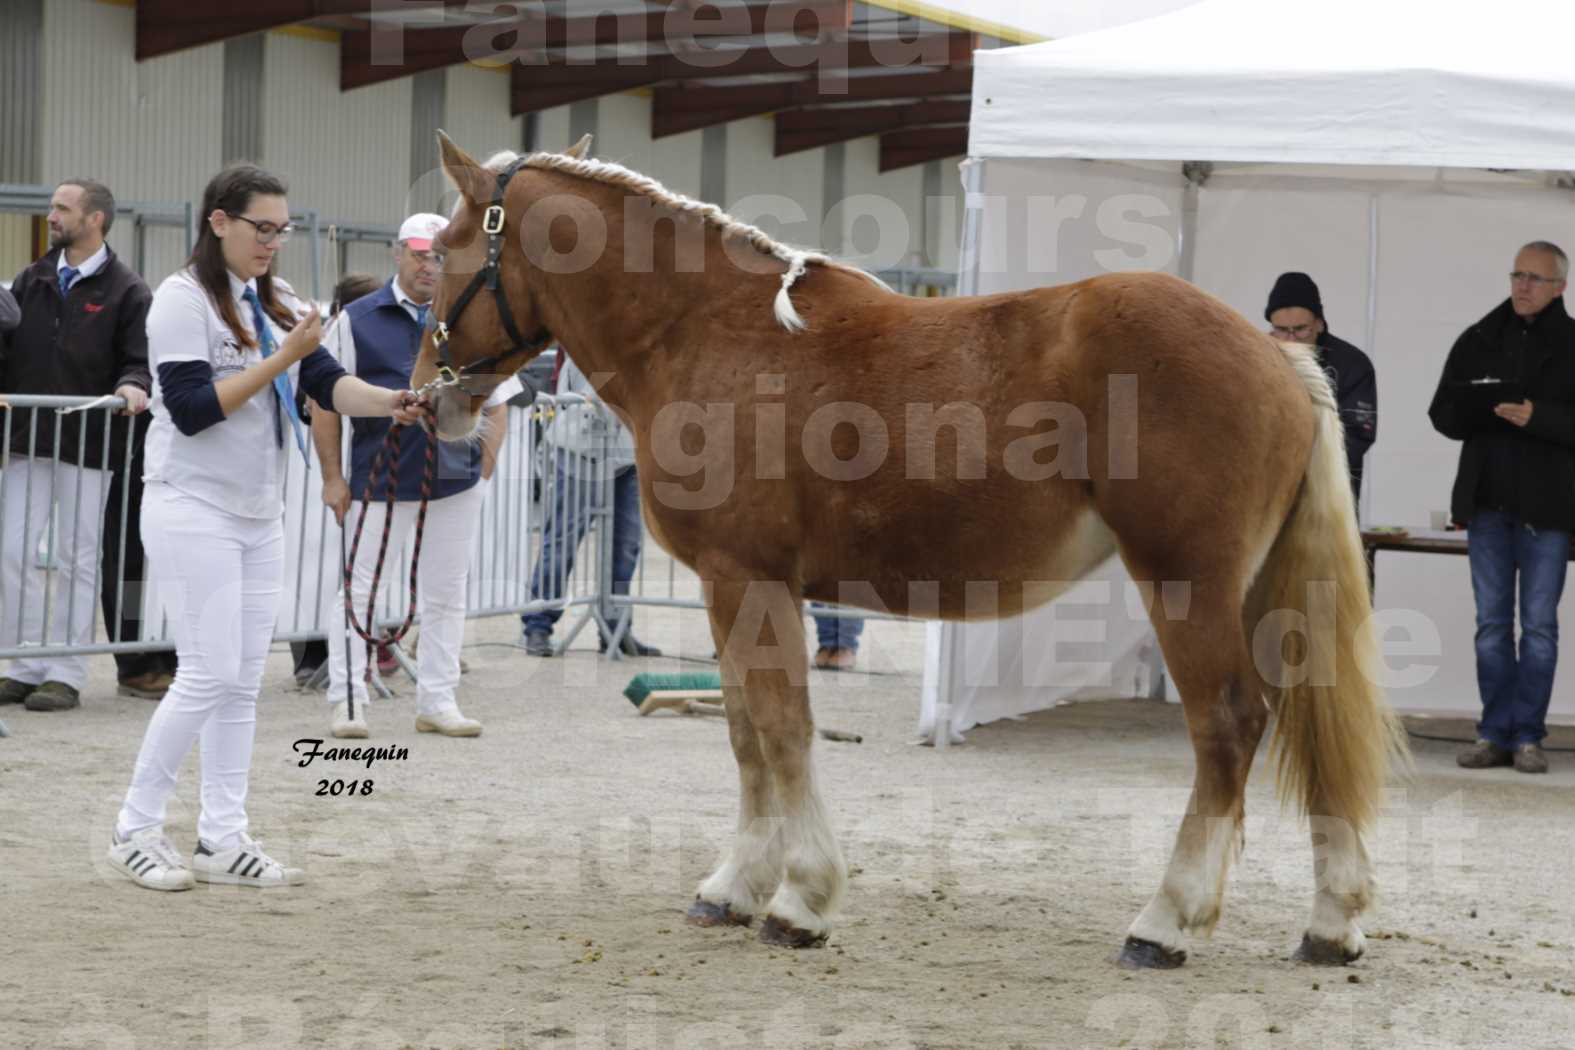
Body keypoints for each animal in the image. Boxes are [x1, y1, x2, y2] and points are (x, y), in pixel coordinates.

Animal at [415, 131, 1404, 969]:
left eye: (448, 256)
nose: (432, 399)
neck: (706, 333)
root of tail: (1278, 358)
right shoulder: (732, 589)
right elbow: (743, 733)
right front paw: (734, 887)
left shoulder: (746, 579)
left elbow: (779, 731)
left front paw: (799, 902)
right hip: (1260, 588)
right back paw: (1330, 923)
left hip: (1186, 584)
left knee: (1228, 724)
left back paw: (1163, 923)